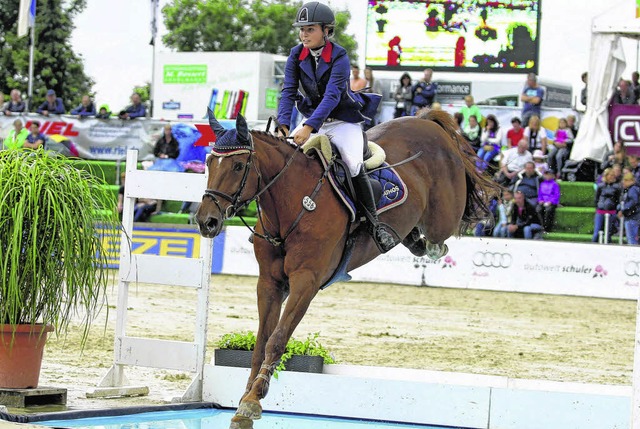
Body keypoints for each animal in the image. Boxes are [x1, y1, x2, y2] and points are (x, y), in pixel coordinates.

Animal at [195, 108, 500, 426]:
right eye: (209, 163)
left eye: (238, 165)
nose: (207, 221)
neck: (293, 203)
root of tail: (425, 121)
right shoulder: (269, 283)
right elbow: (261, 341)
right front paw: (245, 400)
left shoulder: (306, 282)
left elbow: (276, 340)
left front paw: (253, 400)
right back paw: (402, 238)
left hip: (444, 217)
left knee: (444, 237)